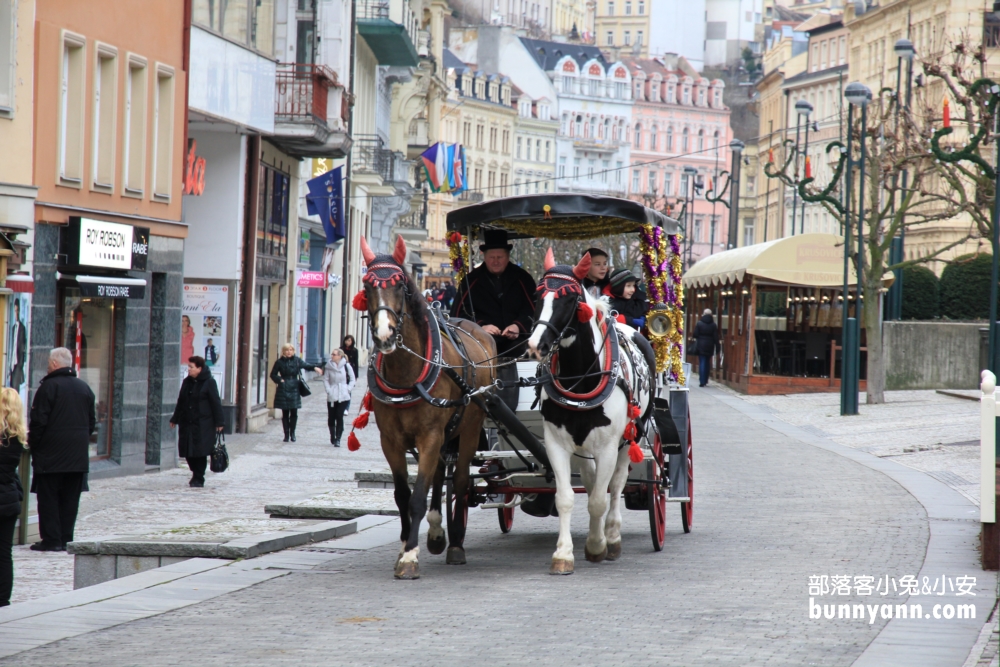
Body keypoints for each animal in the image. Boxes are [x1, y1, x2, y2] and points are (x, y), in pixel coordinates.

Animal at [362, 236, 498, 580]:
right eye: (367, 285)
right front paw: (404, 547)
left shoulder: (430, 435)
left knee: (460, 480)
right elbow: (402, 496)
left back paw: (456, 543)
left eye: (399, 285)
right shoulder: (391, 441)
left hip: (469, 428)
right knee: (440, 473)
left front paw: (410, 557)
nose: (384, 335)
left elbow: (418, 497)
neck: (408, 372)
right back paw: (437, 533)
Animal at [528, 250, 652, 576]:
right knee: (591, 479)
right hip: (582, 446)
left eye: (569, 299)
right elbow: (566, 498)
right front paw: (563, 554)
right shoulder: (557, 443)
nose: (535, 345)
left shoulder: (608, 446)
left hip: (630, 438)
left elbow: (599, 498)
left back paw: (612, 536)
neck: (582, 376)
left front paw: (598, 545)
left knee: (616, 485)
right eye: (537, 295)